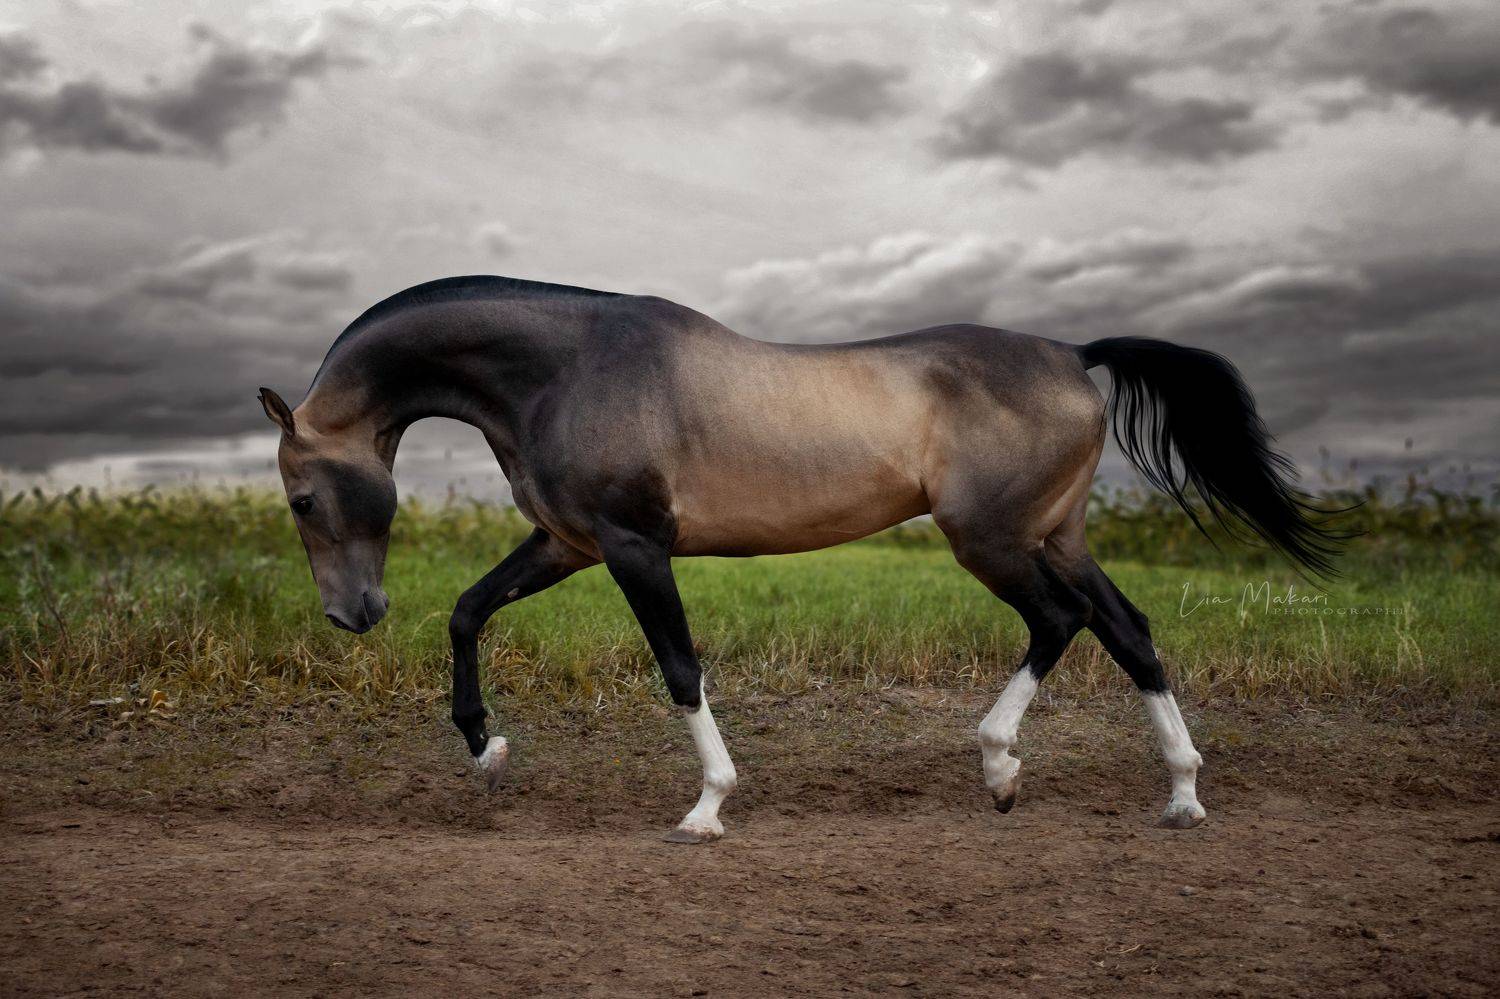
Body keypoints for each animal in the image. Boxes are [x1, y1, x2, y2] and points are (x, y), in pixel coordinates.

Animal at [258, 274, 1340, 842]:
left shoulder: (634, 547)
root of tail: (1072, 355)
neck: (563, 369)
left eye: (301, 497)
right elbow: (469, 610)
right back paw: (1183, 791)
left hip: (993, 540)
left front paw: (707, 806)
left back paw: (1001, 766)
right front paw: (485, 749)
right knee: (1129, 631)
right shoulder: (568, 544)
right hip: (1055, 535)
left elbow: (680, 668)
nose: (352, 614)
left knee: (1061, 621)